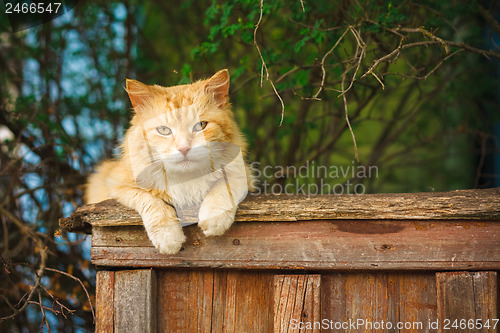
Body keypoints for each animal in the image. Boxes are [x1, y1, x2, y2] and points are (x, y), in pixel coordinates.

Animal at [85, 69, 254, 252]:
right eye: (164, 130)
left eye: (200, 126)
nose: (184, 148)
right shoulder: (117, 184)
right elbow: (151, 201)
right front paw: (168, 238)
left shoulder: (243, 173)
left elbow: (224, 187)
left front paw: (214, 218)